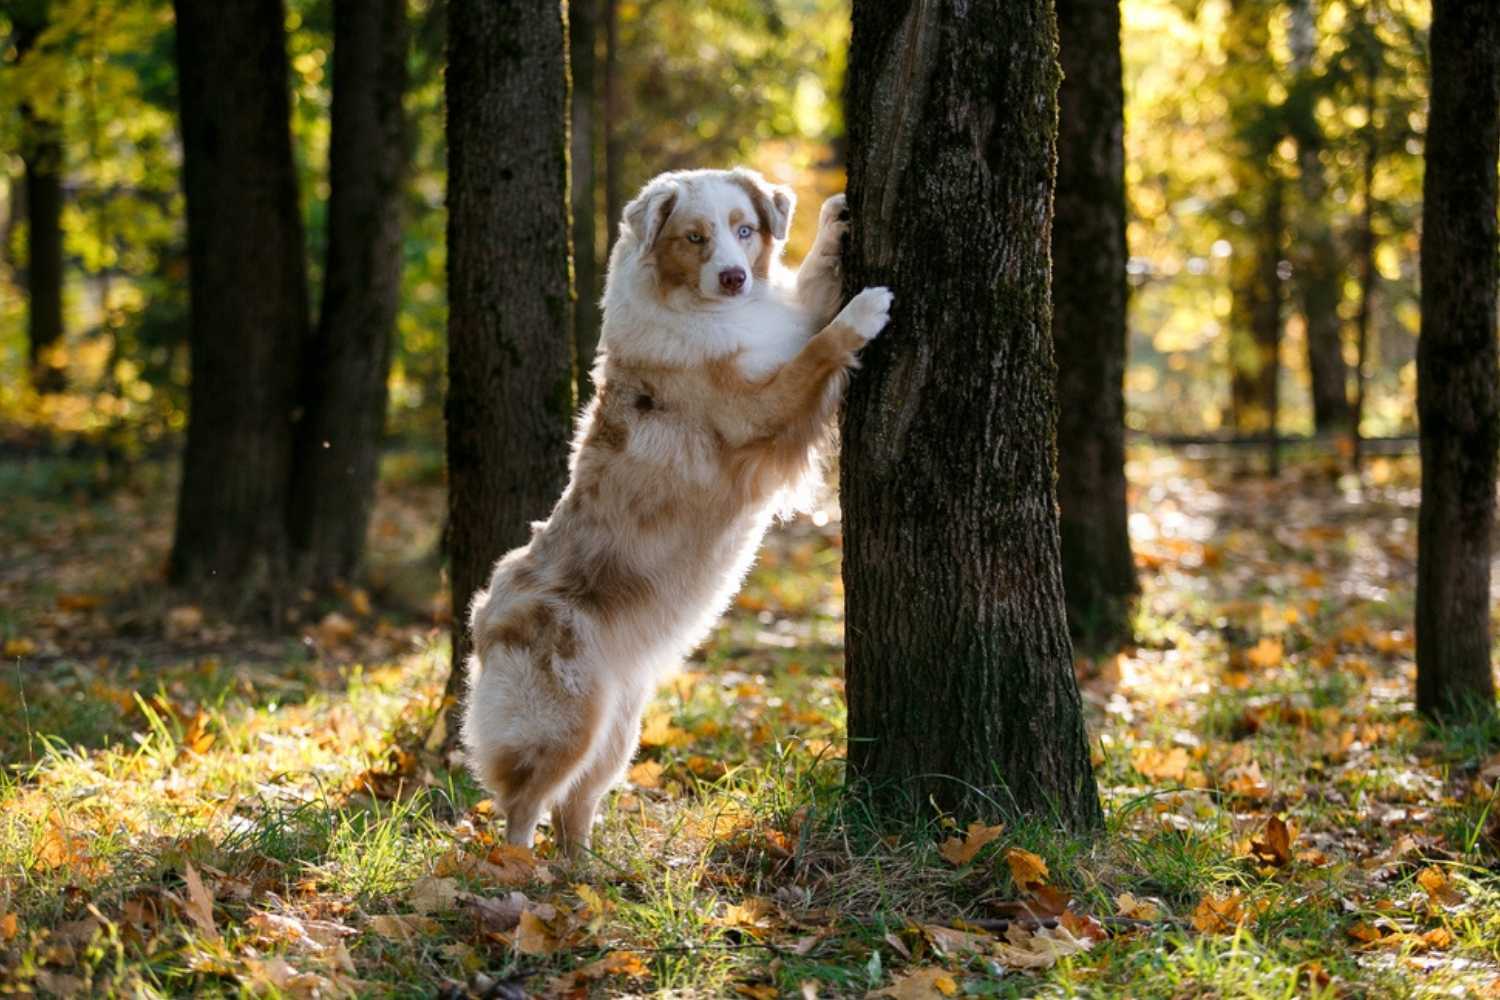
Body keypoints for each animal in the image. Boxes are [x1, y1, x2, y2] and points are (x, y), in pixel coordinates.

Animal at [462, 166, 888, 851]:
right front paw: (865, 311)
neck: (705, 311)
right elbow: (821, 348)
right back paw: (517, 870)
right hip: (564, 720)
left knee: (574, 805)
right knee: (525, 803)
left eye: (745, 230)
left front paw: (833, 218)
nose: (735, 276)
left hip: (619, 728)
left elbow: (810, 290)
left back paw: (587, 870)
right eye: (694, 237)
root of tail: (484, 611)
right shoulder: (757, 411)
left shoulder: (780, 326)